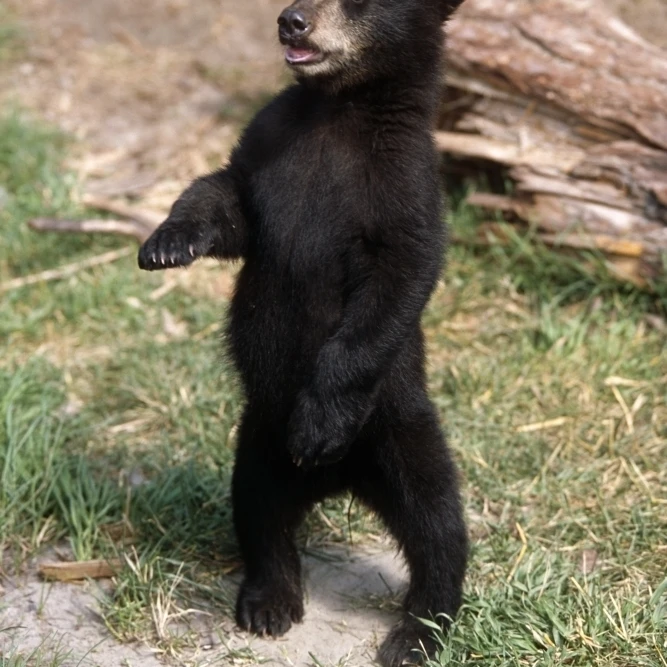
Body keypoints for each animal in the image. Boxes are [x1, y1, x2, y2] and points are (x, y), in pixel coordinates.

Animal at [137, 0, 467, 664]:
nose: (291, 21)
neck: (340, 109)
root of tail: (340, 481)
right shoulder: (271, 141)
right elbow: (229, 196)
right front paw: (167, 240)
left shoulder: (405, 182)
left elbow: (398, 281)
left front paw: (319, 422)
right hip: (260, 437)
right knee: (259, 510)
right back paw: (270, 601)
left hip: (398, 426)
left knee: (438, 522)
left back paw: (418, 632)